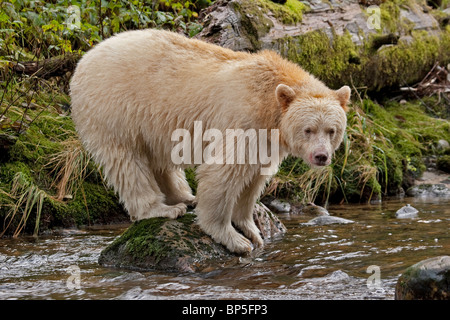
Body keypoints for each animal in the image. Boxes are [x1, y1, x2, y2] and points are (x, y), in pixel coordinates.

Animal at [71, 28, 352, 254]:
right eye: (308, 130)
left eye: (332, 130)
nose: (321, 156)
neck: (267, 100)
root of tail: (84, 59)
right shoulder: (242, 122)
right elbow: (224, 172)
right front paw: (235, 239)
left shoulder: (267, 139)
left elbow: (254, 179)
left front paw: (252, 229)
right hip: (115, 108)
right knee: (127, 162)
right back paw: (162, 208)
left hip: (151, 121)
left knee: (158, 158)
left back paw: (184, 196)